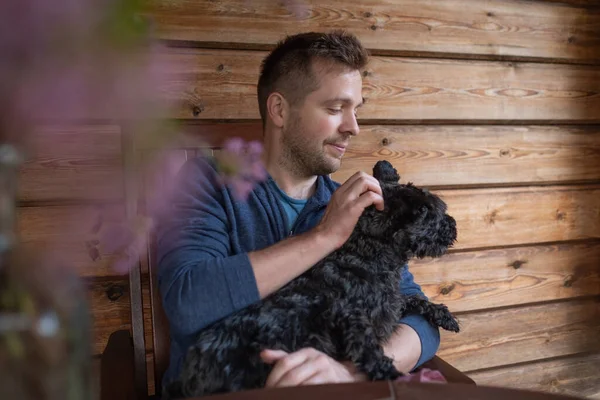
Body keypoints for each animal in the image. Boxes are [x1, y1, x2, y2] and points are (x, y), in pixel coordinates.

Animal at [164, 161, 460, 398]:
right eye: (428, 212)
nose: (453, 225)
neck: (366, 255)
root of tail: (186, 377)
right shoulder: (350, 317)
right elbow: (369, 349)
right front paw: (394, 377)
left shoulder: (390, 303)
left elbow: (413, 298)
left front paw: (444, 315)